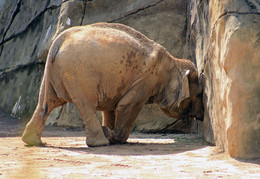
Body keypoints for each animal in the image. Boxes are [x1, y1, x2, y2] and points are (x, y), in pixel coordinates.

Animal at [21, 22, 203, 147]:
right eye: (197, 95)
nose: (200, 116)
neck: (173, 62)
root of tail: (59, 40)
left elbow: (111, 108)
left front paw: (110, 131)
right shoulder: (147, 79)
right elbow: (127, 105)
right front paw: (113, 136)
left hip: (55, 73)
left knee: (47, 102)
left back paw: (32, 142)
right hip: (79, 73)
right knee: (86, 105)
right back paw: (101, 142)